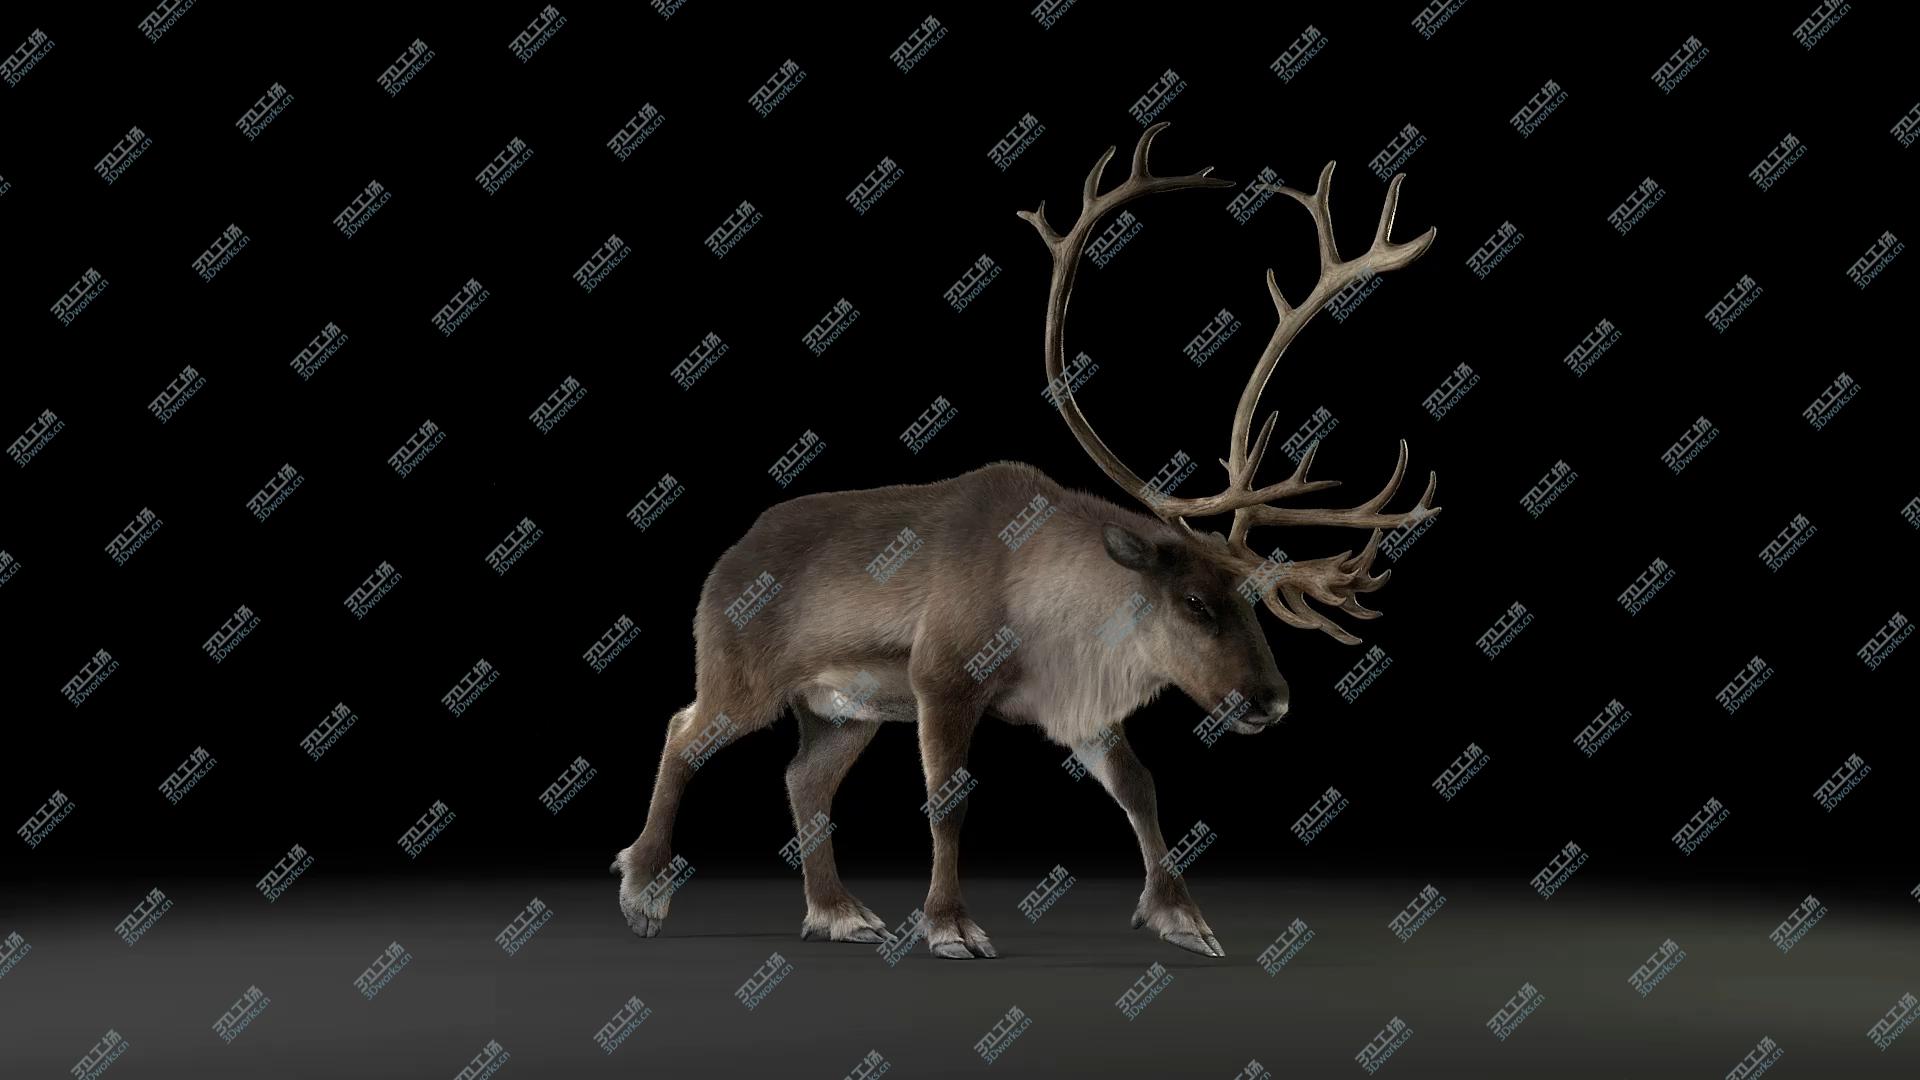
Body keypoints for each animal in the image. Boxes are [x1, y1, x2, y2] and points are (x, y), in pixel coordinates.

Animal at [611, 122, 1438, 960]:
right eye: (1194, 603)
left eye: (1253, 604)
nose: (1274, 702)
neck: (1050, 599)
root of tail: (729, 558)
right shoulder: (941, 677)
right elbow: (947, 800)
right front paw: (950, 925)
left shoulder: (1082, 702)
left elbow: (1140, 785)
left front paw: (1182, 916)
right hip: (742, 672)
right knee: (683, 731)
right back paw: (644, 888)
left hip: (846, 708)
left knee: (802, 777)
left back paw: (836, 911)